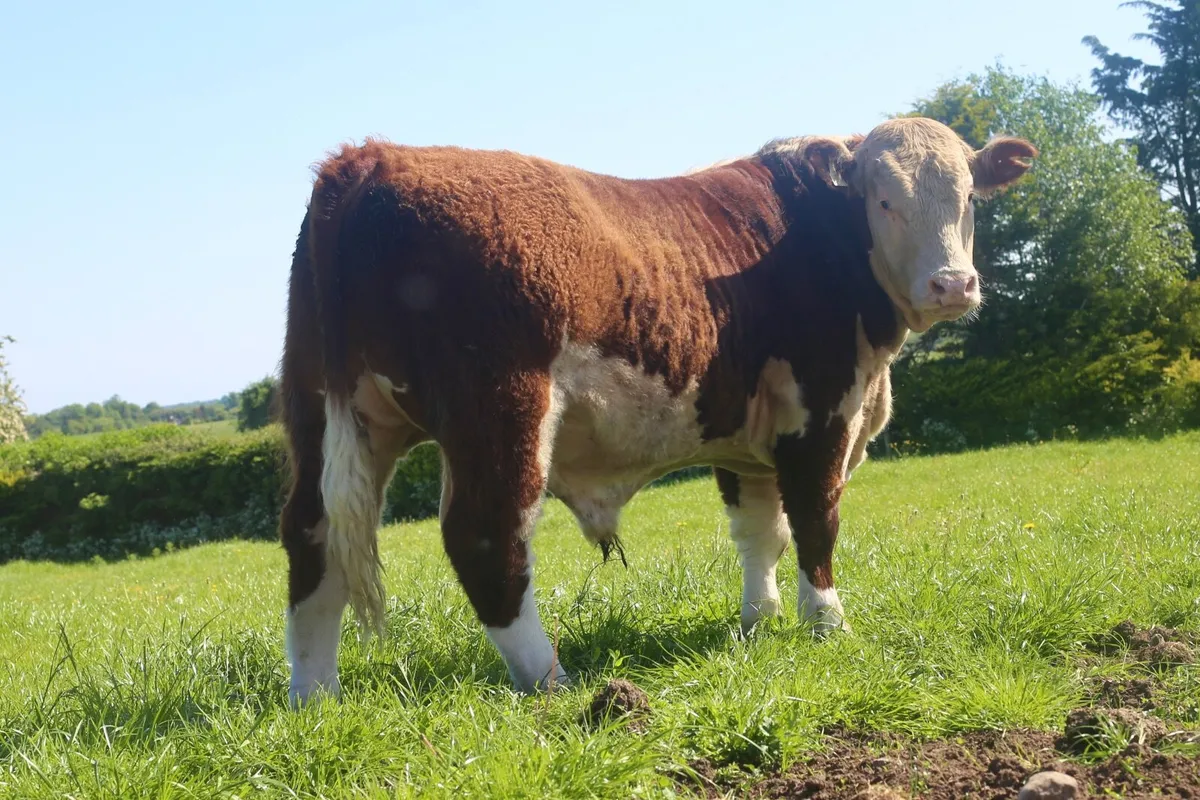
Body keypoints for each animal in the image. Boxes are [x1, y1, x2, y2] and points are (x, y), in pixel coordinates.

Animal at [277, 117, 1036, 705]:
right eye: (883, 201)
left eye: (970, 196)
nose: (953, 284)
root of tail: (369, 158)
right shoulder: (821, 414)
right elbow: (816, 522)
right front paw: (827, 624)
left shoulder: (744, 436)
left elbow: (759, 532)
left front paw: (758, 623)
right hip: (500, 409)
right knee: (486, 535)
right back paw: (551, 680)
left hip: (323, 408)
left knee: (312, 537)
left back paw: (317, 697)